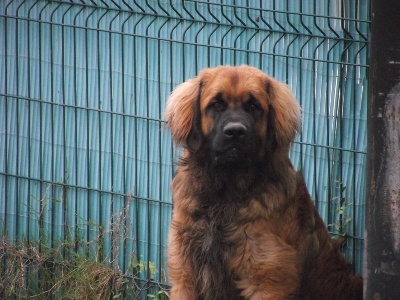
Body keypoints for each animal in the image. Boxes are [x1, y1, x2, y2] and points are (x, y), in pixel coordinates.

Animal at [164, 66, 364, 300]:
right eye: (216, 105)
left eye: (253, 106)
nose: (235, 132)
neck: (225, 192)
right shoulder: (186, 274)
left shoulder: (267, 278)